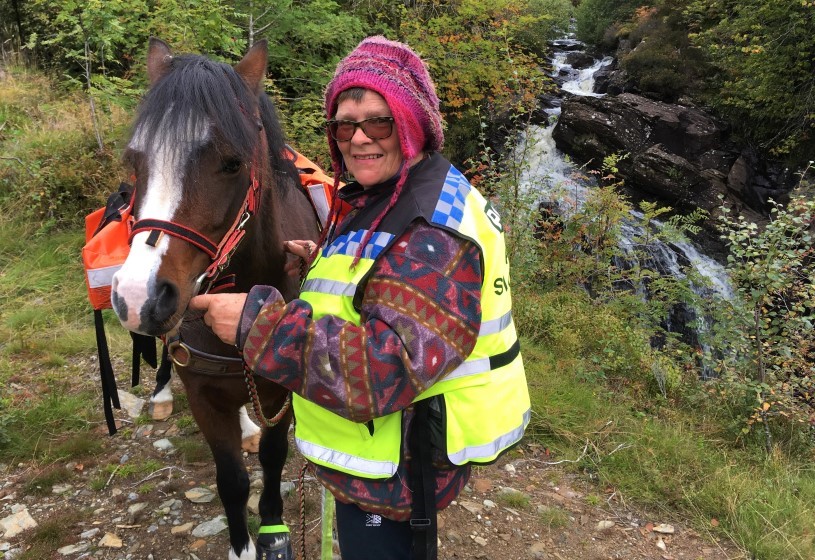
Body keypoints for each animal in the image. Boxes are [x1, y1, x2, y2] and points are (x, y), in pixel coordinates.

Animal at [110, 39, 320, 560]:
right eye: (135, 160)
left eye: (233, 163)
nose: (137, 296)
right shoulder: (203, 393)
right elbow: (231, 480)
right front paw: (241, 545)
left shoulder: (281, 391)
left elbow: (272, 458)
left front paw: (271, 528)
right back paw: (162, 395)